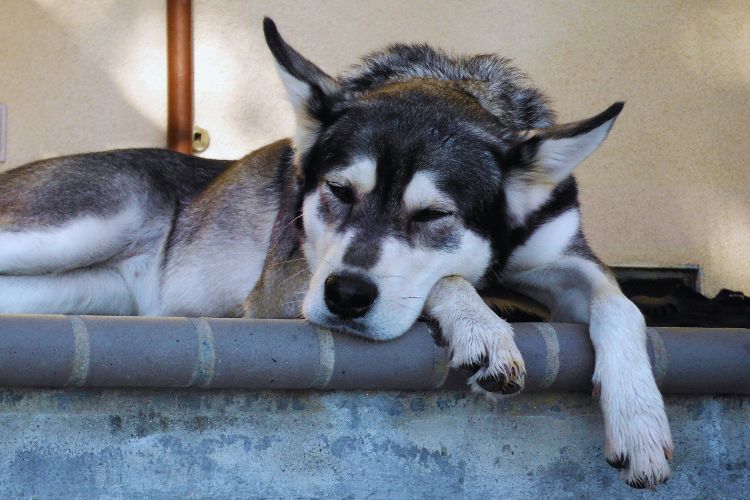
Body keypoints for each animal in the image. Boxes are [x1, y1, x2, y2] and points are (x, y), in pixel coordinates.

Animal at [0, 18, 676, 488]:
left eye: (433, 216)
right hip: (98, 217)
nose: (347, 296)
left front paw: (641, 421)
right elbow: (444, 281)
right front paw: (482, 326)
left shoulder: (569, 257)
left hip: (90, 286)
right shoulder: (281, 285)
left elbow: (622, 305)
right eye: (339, 192)